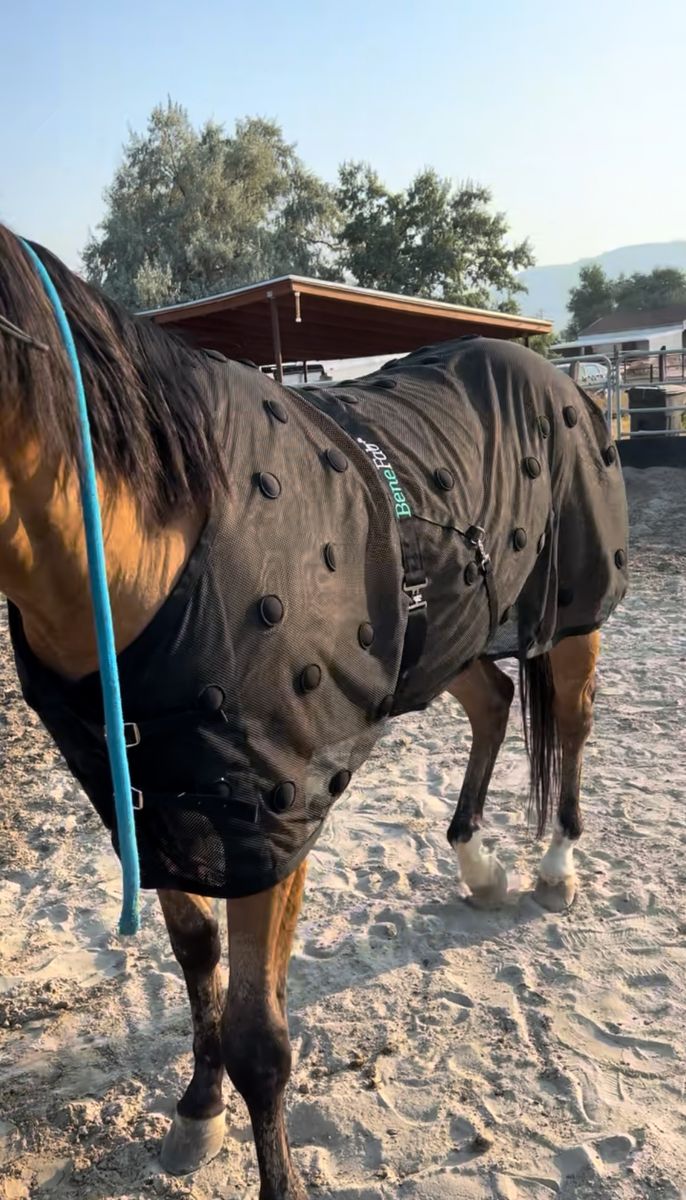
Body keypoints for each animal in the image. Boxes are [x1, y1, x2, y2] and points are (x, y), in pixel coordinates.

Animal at [0, 224, 628, 1199]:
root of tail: (551, 371)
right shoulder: (154, 796)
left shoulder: (271, 814)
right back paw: (478, 866)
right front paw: (197, 1111)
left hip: (573, 614)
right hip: (446, 632)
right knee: (495, 702)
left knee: (573, 723)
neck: (163, 548)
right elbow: (195, 955)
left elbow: (261, 1037)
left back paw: (555, 866)